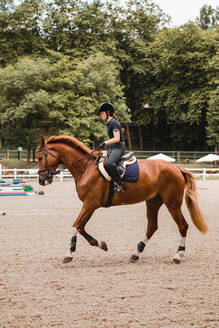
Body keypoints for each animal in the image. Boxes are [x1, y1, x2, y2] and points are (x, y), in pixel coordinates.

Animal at [37, 136, 207, 264]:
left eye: (39, 157)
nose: (41, 180)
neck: (86, 168)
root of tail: (176, 168)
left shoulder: (90, 204)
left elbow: (75, 226)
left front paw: (69, 253)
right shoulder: (90, 205)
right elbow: (81, 227)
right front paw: (101, 244)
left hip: (172, 203)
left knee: (183, 226)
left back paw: (178, 255)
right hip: (153, 202)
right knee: (152, 226)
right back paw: (136, 253)